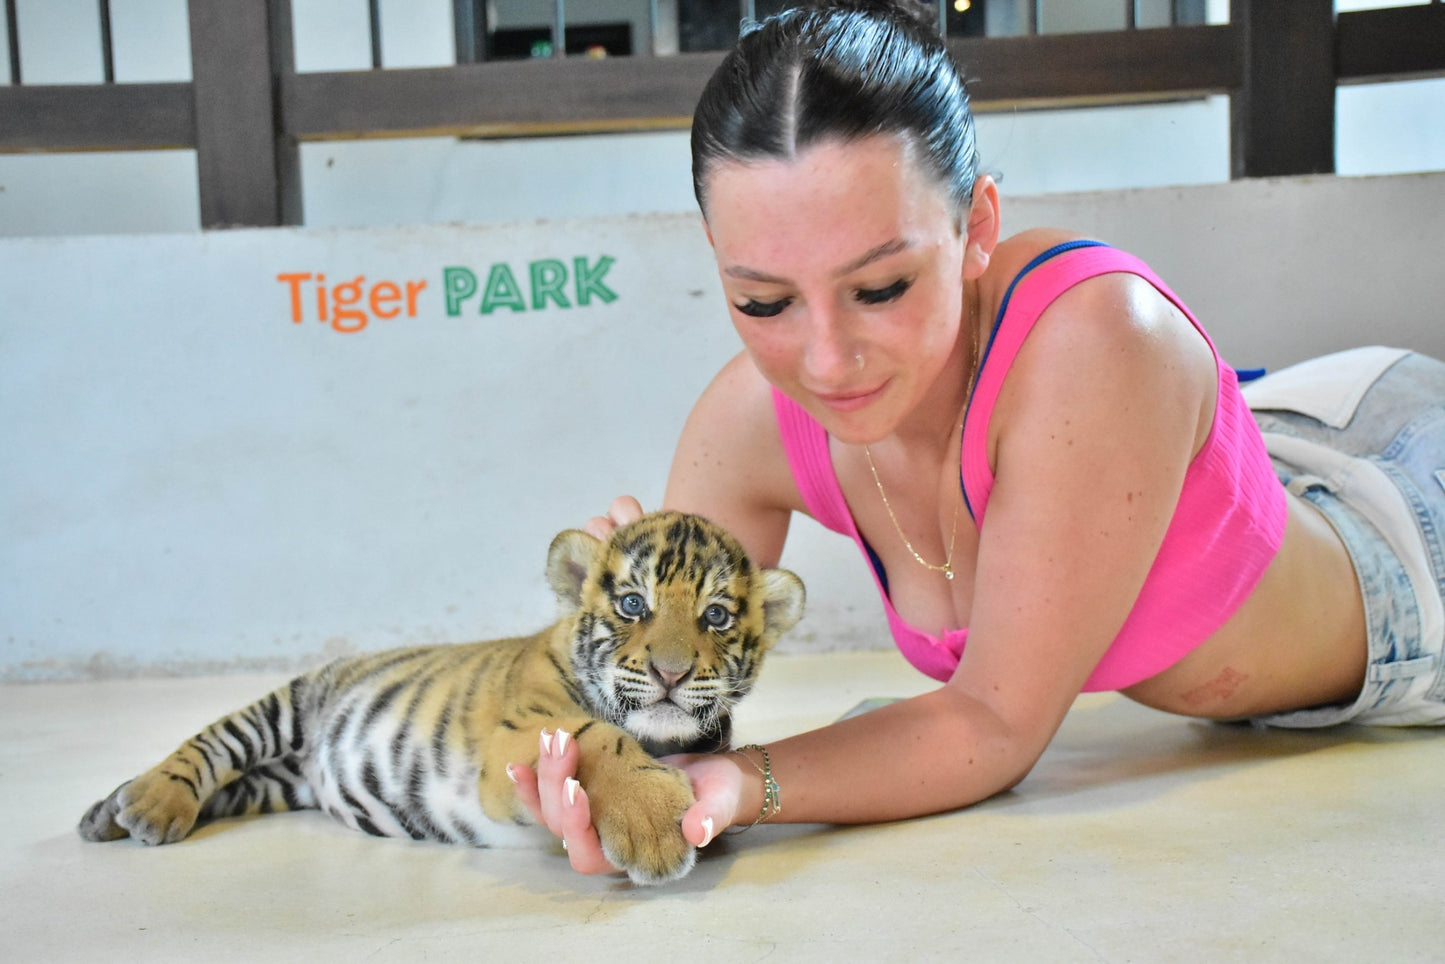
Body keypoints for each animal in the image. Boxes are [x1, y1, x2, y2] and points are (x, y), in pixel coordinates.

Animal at [77, 511, 805, 885]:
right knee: (209, 747)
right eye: (632, 605)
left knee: (236, 785)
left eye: (715, 617)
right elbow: (597, 736)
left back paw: (106, 814)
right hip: (288, 707)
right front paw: (651, 823)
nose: (671, 673)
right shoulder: (521, 733)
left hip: (282, 782)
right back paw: (148, 804)